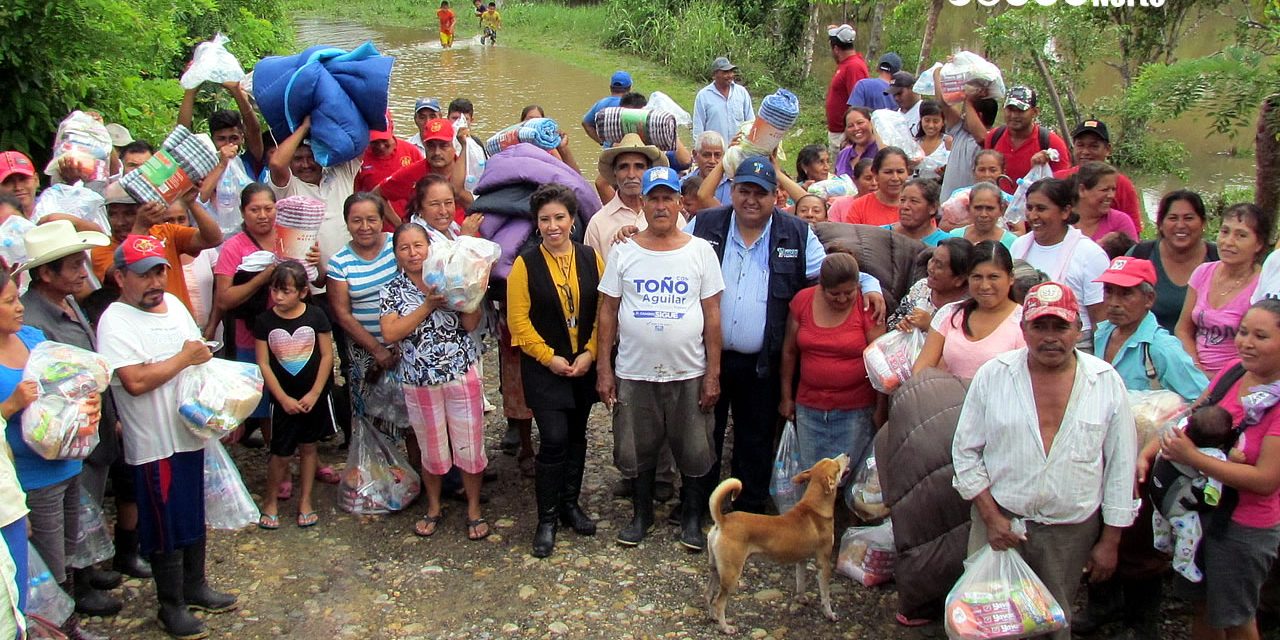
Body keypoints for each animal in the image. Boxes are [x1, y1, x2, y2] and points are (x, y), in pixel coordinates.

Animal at [701, 455, 849, 634]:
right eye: (837, 466)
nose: (847, 454)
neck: (814, 508)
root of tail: (722, 521)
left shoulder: (801, 560)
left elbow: (800, 583)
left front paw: (801, 599)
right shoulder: (823, 563)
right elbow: (825, 595)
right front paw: (830, 614)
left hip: (716, 569)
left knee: (708, 594)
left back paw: (713, 617)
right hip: (731, 573)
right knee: (719, 602)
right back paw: (725, 627)